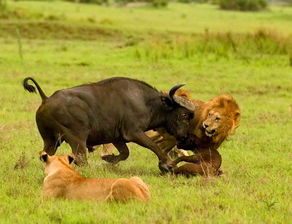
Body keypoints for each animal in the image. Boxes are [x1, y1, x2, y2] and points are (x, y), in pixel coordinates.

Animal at [24, 76, 195, 172]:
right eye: (184, 114)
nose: (184, 137)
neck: (146, 102)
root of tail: (46, 99)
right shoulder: (134, 133)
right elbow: (155, 146)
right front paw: (167, 164)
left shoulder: (117, 138)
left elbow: (125, 153)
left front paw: (109, 160)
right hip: (77, 139)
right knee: (80, 159)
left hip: (51, 141)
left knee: (45, 155)